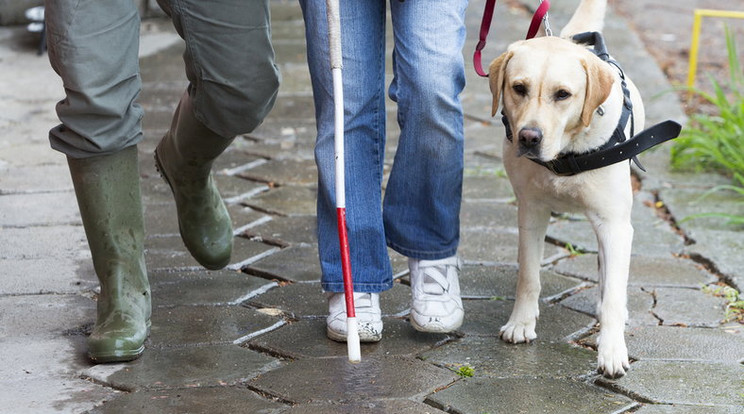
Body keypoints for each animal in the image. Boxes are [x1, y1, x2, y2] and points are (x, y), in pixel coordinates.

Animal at [488, 0, 644, 378]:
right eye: (519, 88)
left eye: (563, 95)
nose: (529, 137)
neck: (565, 154)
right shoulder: (531, 213)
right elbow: (528, 275)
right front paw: (521, 322)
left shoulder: (614, 225)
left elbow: (613, 293)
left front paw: (611, 349)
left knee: (608, 274)